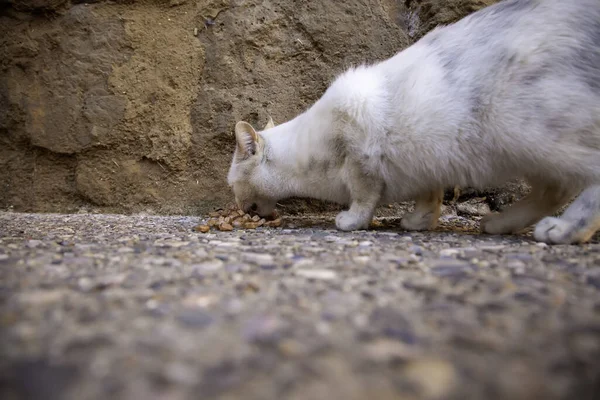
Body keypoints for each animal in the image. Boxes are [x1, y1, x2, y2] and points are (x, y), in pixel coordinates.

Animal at [226, 0, 600, 244]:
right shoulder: (425, 161)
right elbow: (429, 197)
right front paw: (419, 221)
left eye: (232, 184)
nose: (240, 207)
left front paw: (351, 221)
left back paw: (563, 231)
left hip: (528, 134)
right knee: (553, 191)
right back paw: (503, 223)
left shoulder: (361, 155)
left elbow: (363, 197)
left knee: (580, 184)